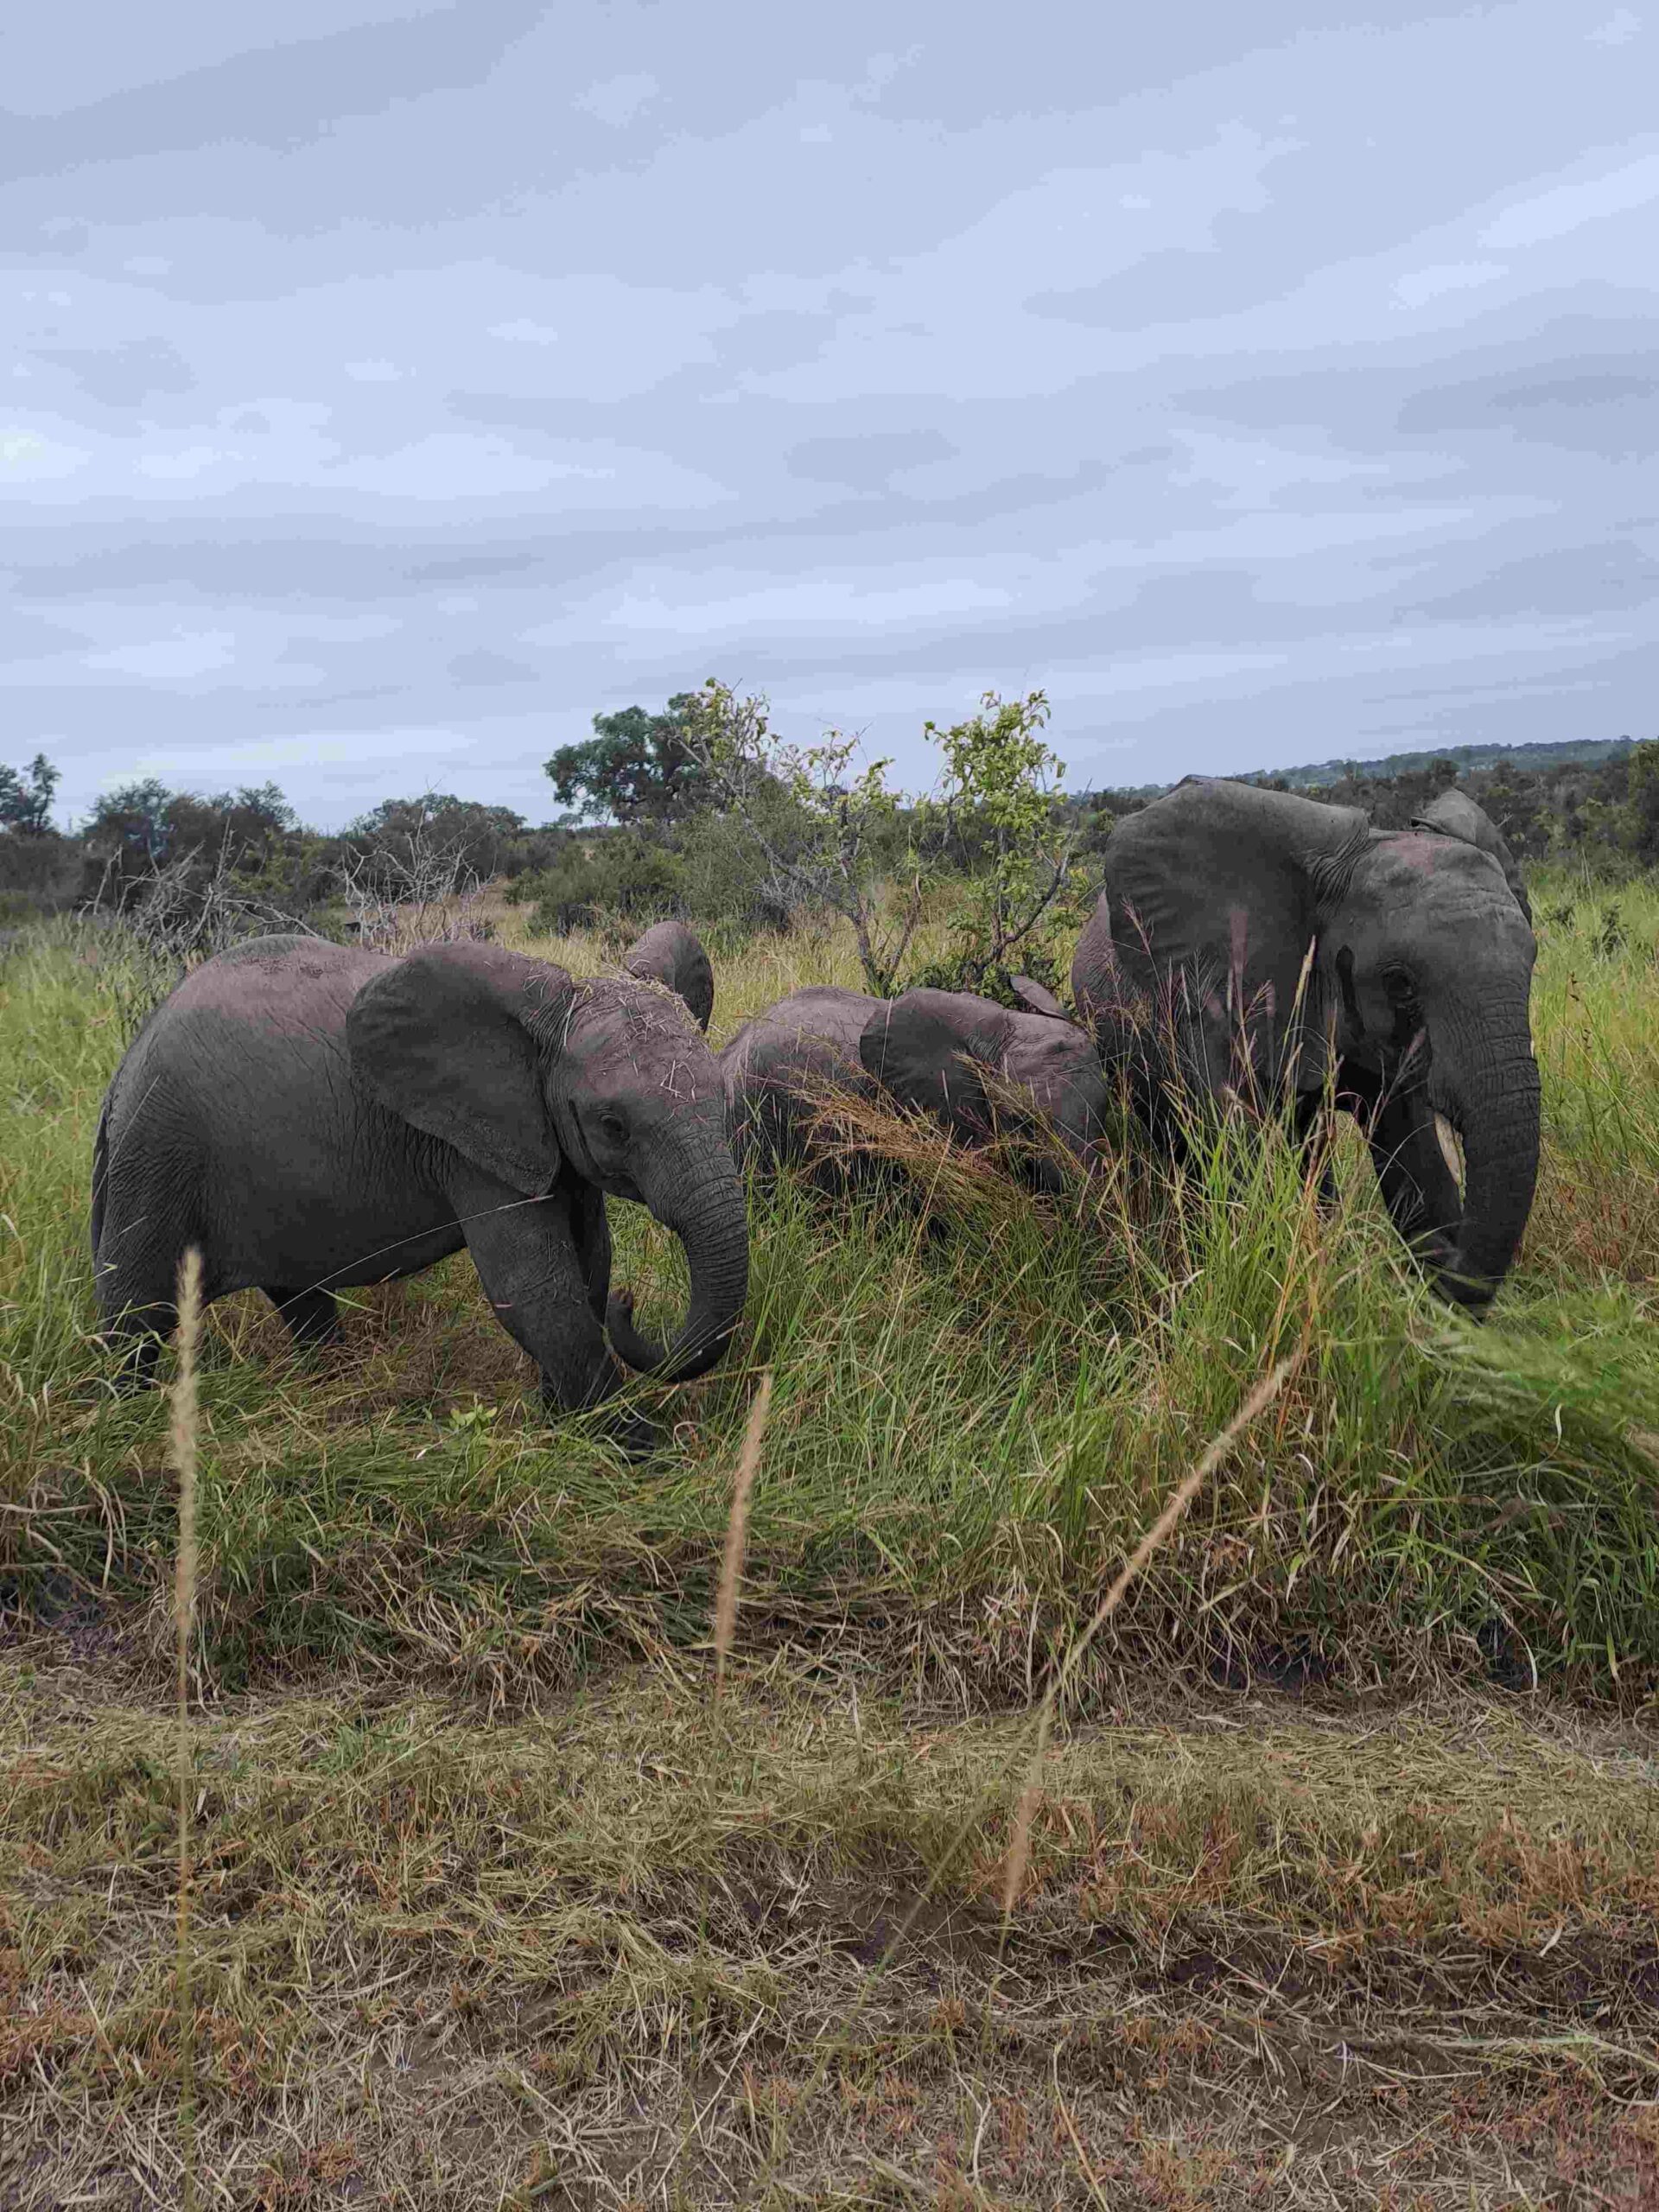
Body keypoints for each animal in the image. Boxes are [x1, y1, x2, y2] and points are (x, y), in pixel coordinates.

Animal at [90, 933, 748, 1449]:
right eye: (614, 1125)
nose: (631, 1307)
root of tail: (124, 1068)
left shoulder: (544, 1141)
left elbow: (590, 1266)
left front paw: (561, 1423)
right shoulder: (467, 1144)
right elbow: (535, 1290)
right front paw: (643, 1452)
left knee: (298, 1299)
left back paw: (336, 1387)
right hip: (158, 1155)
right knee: (136, 1314)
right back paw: (122, 1425)